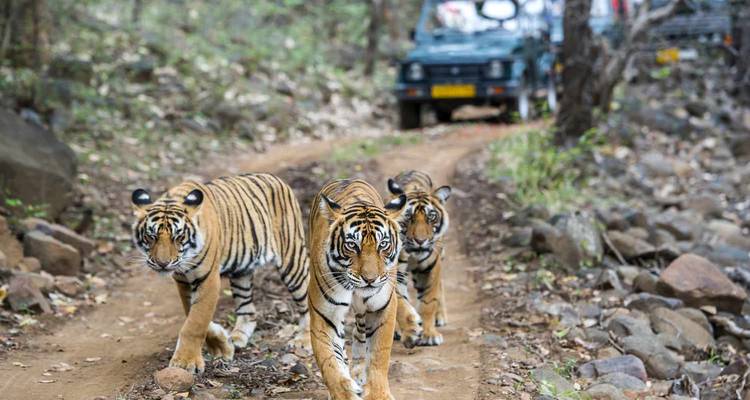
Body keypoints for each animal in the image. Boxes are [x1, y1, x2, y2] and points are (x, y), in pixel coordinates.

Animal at [130, 173, 310, 374]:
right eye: (151, 236)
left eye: (178, 237)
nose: (162, 263)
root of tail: (276, 179)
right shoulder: (183, 281)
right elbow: (192, 314)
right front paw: (222, 345)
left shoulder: (208, 278)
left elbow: (196, 321)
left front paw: (186, 362)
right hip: (241, 272)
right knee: (248, 310)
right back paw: (238, 338)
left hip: (292, 260)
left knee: (306, 300)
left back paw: (304, 340)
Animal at [308, 179, 407, 400]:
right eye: (352, 245)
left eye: (383, 244)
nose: (370, 279)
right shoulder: (324, 315)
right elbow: (329, 362)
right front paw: (343, 393)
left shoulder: (382, 308)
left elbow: (379, 355)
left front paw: (378, 393)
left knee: (361, 332)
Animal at [387, 170, 451, 347]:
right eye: (408, 217)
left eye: (431, 217)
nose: (421, 241)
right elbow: (400, 302)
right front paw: (410, 331)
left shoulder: (431, 267)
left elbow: (428, 302)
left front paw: (429, 334)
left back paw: (440, 317)